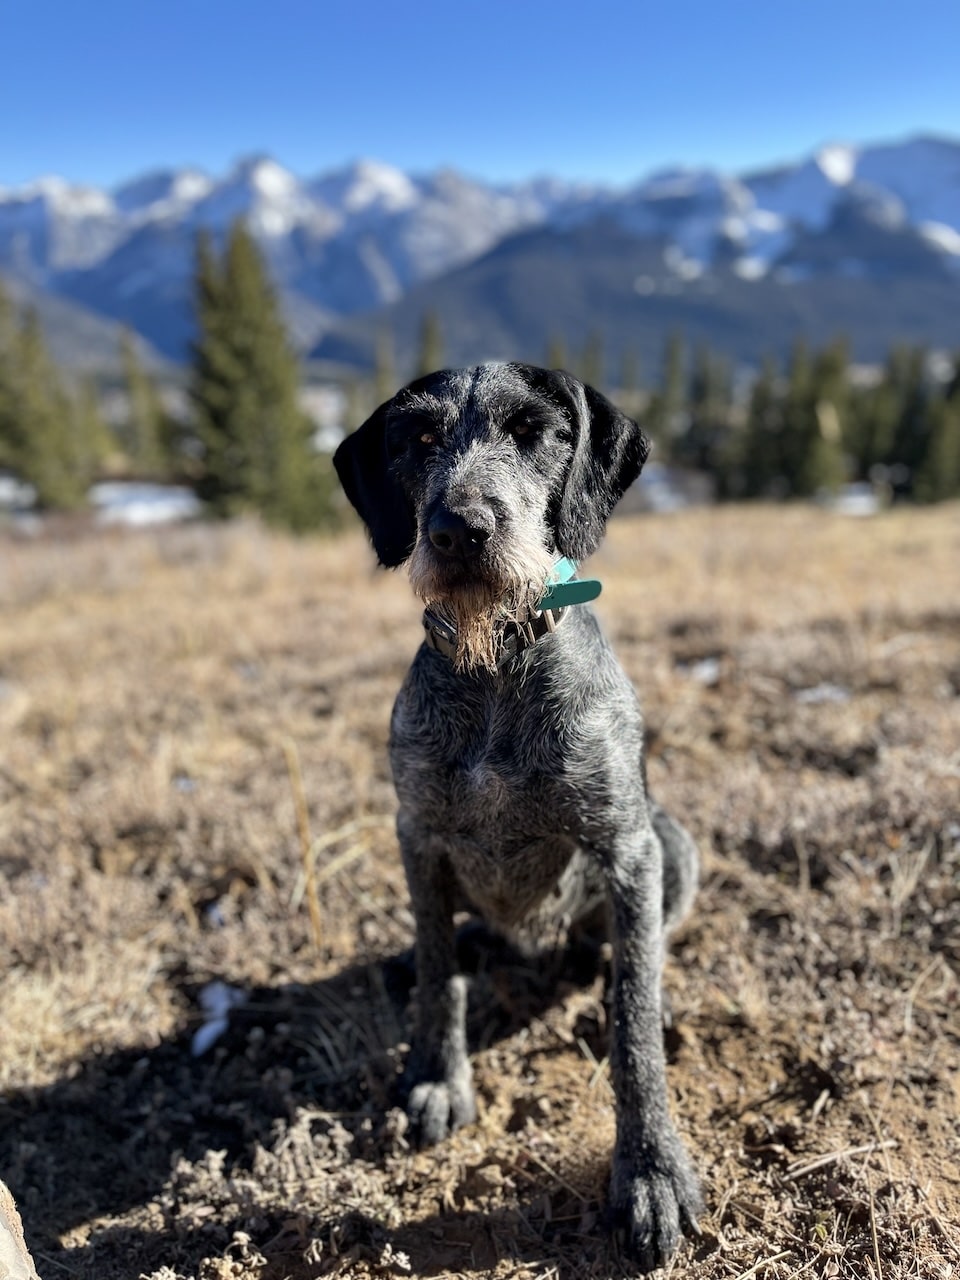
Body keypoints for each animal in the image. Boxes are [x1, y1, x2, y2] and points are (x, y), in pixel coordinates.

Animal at [335, 360, 701, 1269]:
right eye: (420, 437)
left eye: (533, 431)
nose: (459, 530)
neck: (498, 662)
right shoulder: (418, 836)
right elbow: (438, 974)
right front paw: (437, 1076)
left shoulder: (627, 846)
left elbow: (634, 1023)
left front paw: (650, 1171)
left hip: (674, 842)